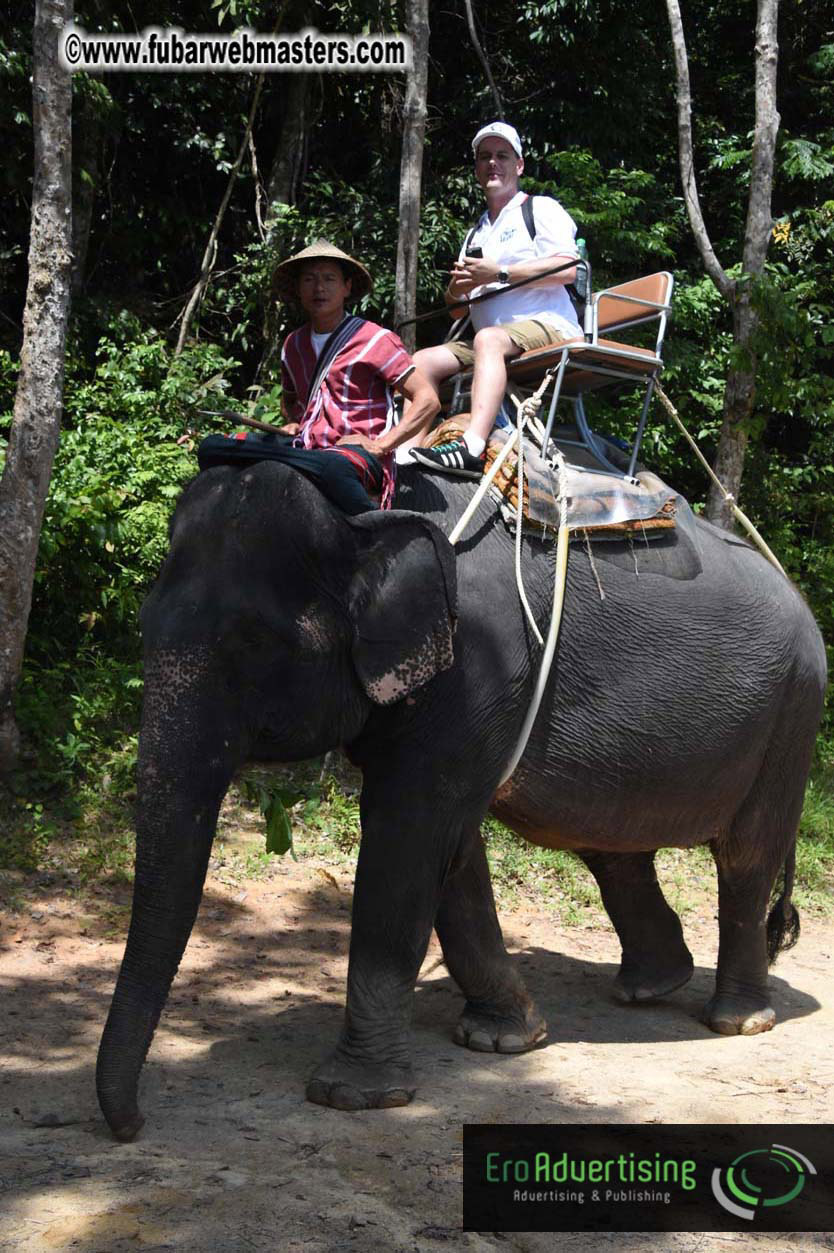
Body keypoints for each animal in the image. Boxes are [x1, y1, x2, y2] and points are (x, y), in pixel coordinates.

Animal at [96, 452, 826, 1140]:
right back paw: (649, 987)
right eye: (143, 623)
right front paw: (503, 1038)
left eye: (251, 645)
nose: (133, 1125)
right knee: (614, 850)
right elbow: (449, 849)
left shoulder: (478, 667)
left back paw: (737, 1021)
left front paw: (354, 1096)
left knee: (745, 859)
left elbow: (409, 835)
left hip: (791, 718)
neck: (365, 512)